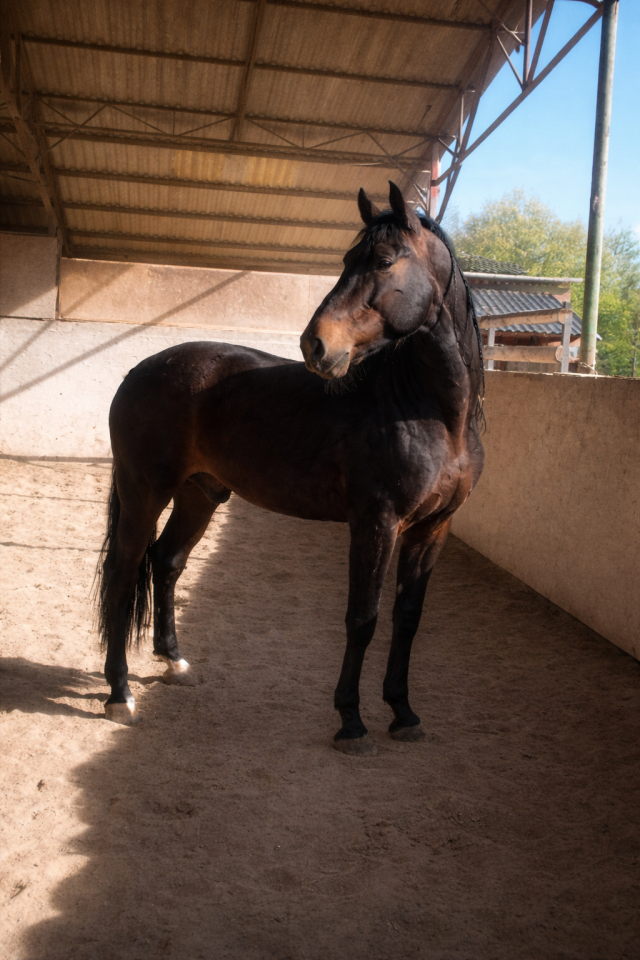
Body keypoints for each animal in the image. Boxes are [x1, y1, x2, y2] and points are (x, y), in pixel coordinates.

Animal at [95, 181, 484, 756]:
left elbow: (407, 619)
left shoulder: (433, 528)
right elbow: (362, 618)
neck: (429, 410)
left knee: (167, 562)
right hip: (145, 491)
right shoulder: (376, 523)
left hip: (199, 494)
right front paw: (351, 721)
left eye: (384, 260)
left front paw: (403, 713)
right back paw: (119, 694)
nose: (314, 345)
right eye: (346, 260)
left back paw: (174, 662)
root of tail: (139, 370)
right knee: (123, 576)